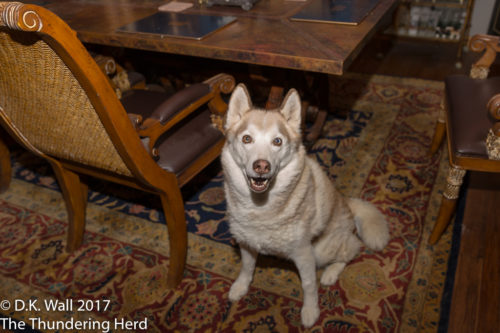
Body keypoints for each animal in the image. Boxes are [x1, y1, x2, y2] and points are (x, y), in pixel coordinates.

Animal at [222, 83, 390, 326]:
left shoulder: (303, 253)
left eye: (277, 141)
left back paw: (330, 274)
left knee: (352, 249)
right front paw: (240, 286)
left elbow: (308, 285)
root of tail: (347, 202)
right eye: (247, 139)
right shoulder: (246, 243)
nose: (261, 166)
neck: (261, 207)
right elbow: (247, 267)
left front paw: (310, 311)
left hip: (323, 250)